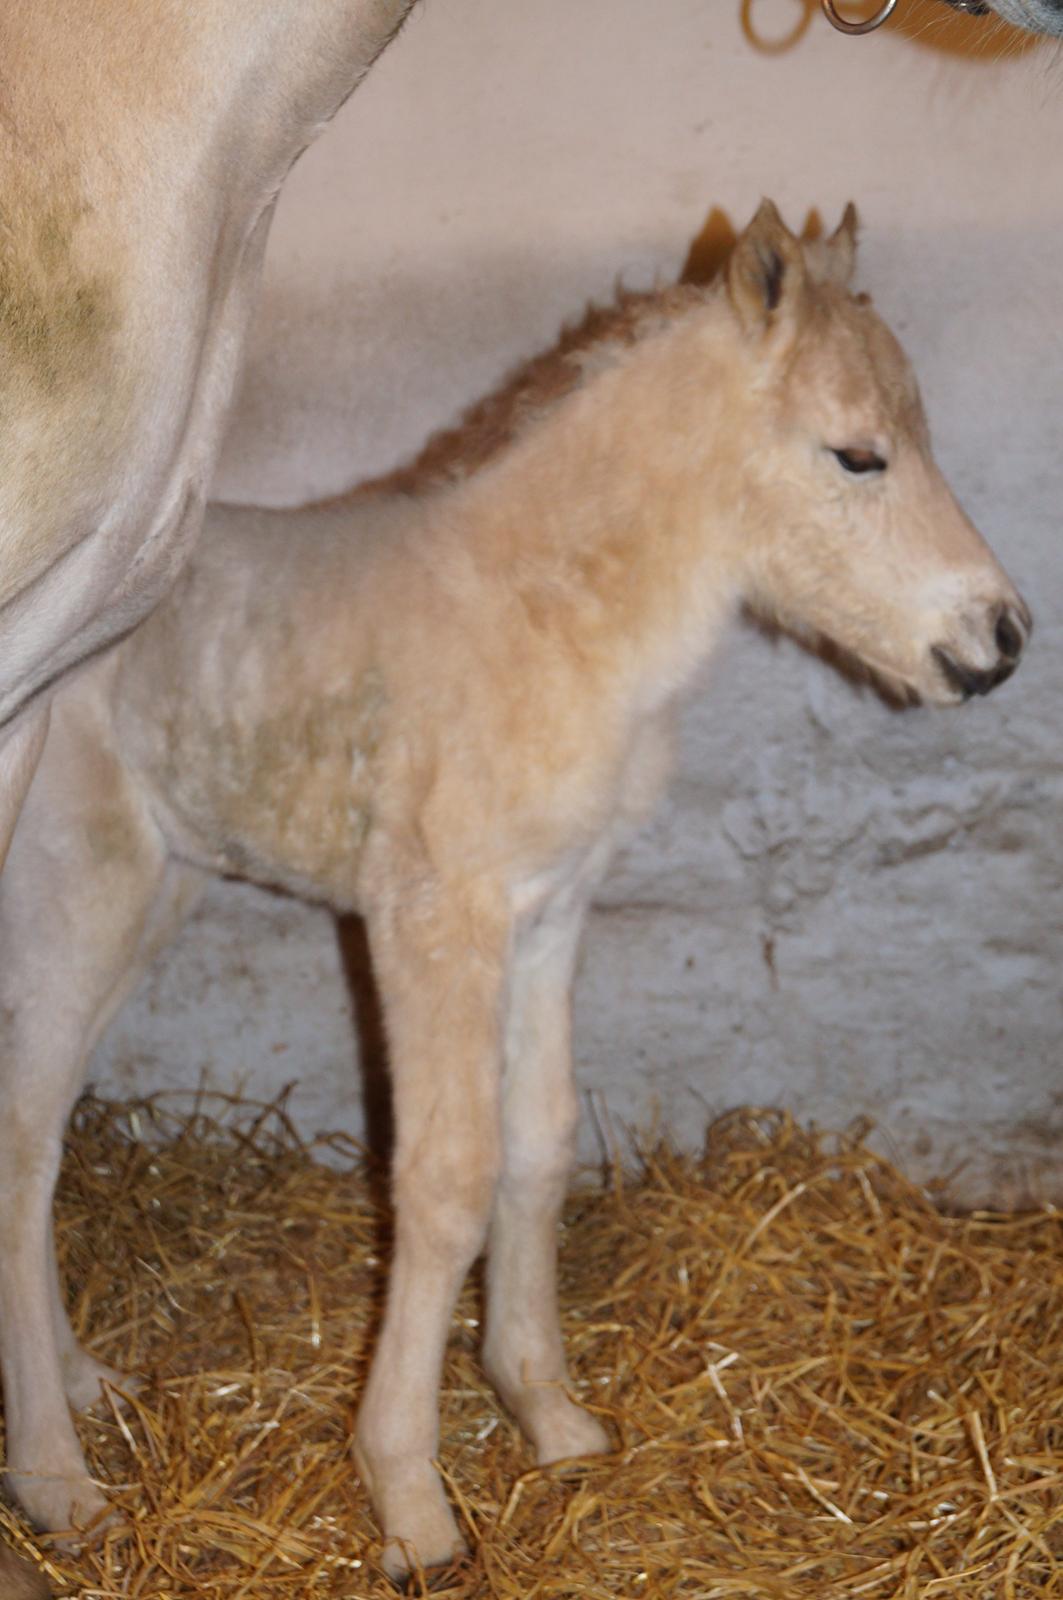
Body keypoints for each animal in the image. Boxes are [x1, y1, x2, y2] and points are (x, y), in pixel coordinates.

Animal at [0, 200, 1030, 1574]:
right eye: (857, 455)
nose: (999, 639)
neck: (543, 615)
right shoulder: (434, 919)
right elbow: (444, 1178)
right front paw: (409, 1495)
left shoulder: (551, 911)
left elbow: (536, 1146)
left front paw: (548, 1413)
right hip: (78, 887)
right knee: (22, 1139)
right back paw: (58, 1478)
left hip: (152, 893)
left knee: (47, 1126)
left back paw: (86, 1387)